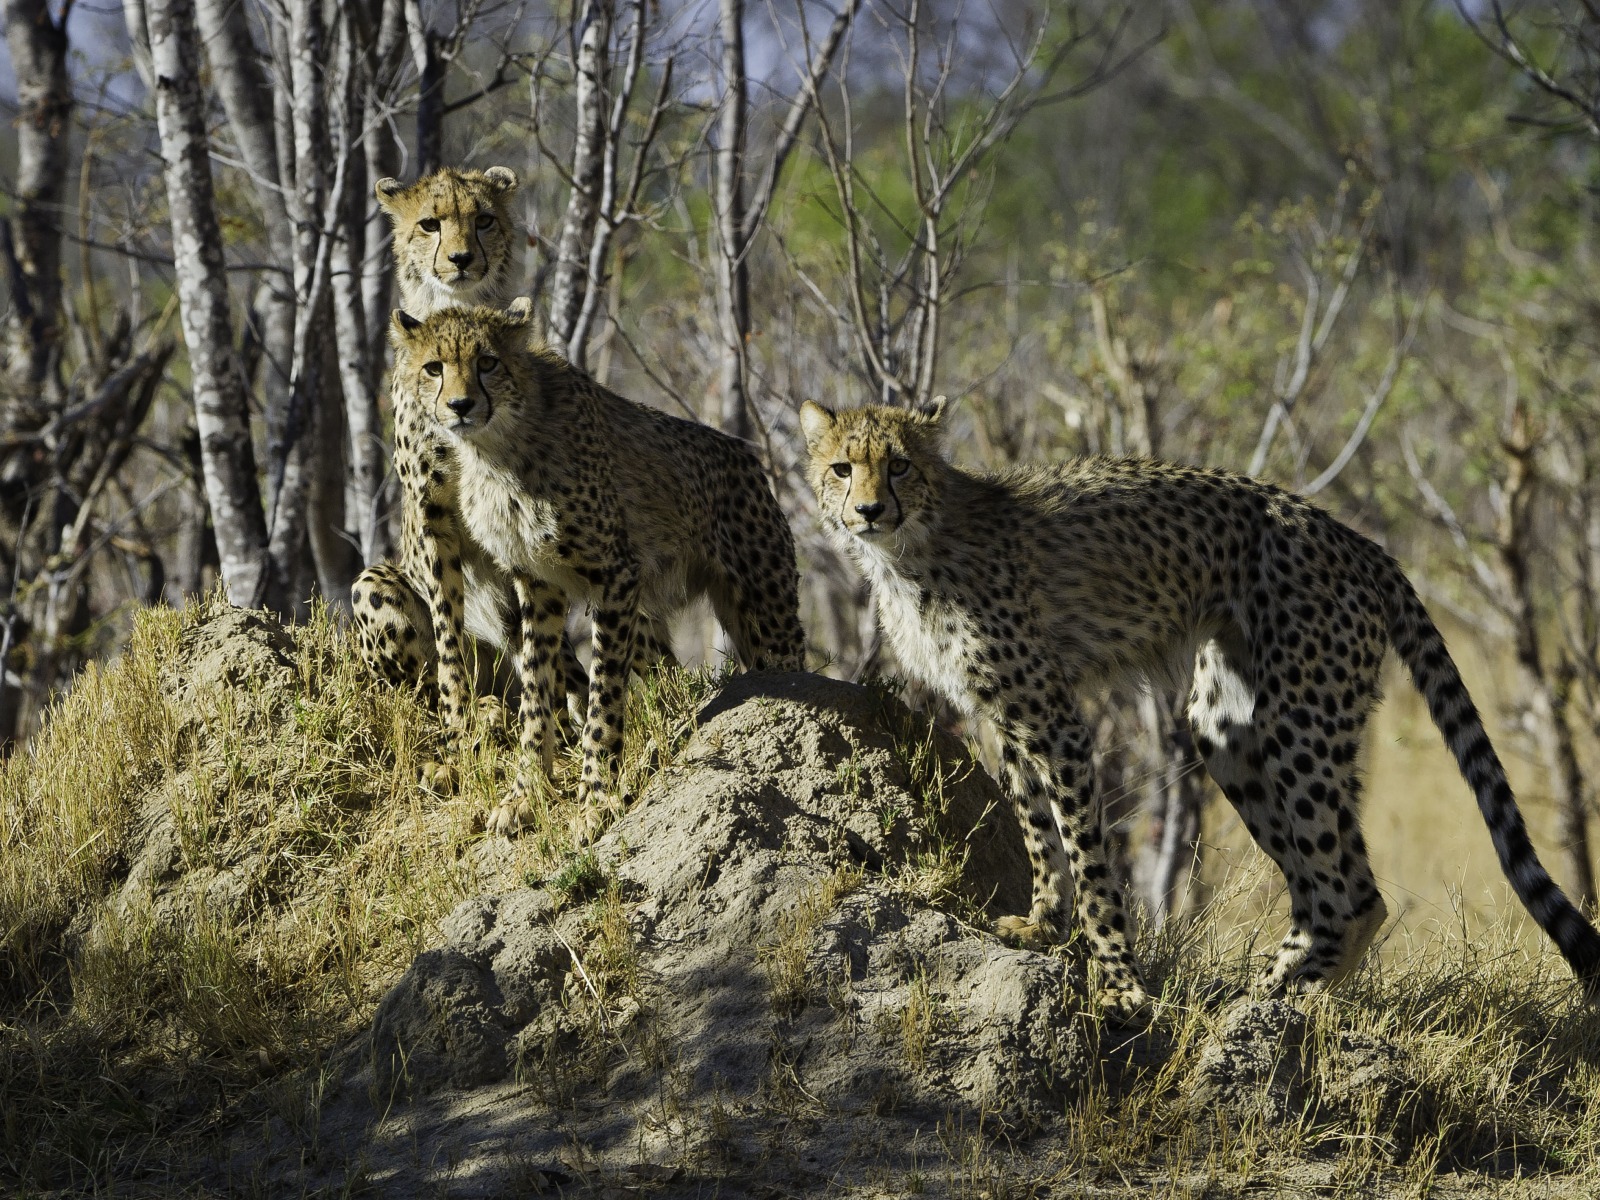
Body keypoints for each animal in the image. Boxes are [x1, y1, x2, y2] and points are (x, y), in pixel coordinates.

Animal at [389, 300, 806, 837]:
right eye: (433, 368)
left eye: (487, 362)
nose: (460, 405)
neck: (496, 447)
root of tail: (746, 453)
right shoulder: (536, 582)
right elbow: (536, 689)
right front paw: (526, 793)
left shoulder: (617, 575)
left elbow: (602, 696)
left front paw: (595, 799)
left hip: (765, 610)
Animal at [800, 397, 1600, 1021]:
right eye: (842, 468)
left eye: (900, 465)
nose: (868, 509)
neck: (915, 547)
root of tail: (1360, 540)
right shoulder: (1004, 716)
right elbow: (1036, 831)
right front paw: (1040, 926)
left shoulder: (1053, 720)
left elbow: (1090, 860)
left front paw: (1120, 987)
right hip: (1231, 731)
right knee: (1337, 887)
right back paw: (1275, 989)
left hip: (1301, 725)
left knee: (1349, 890)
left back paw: (1285, 998)